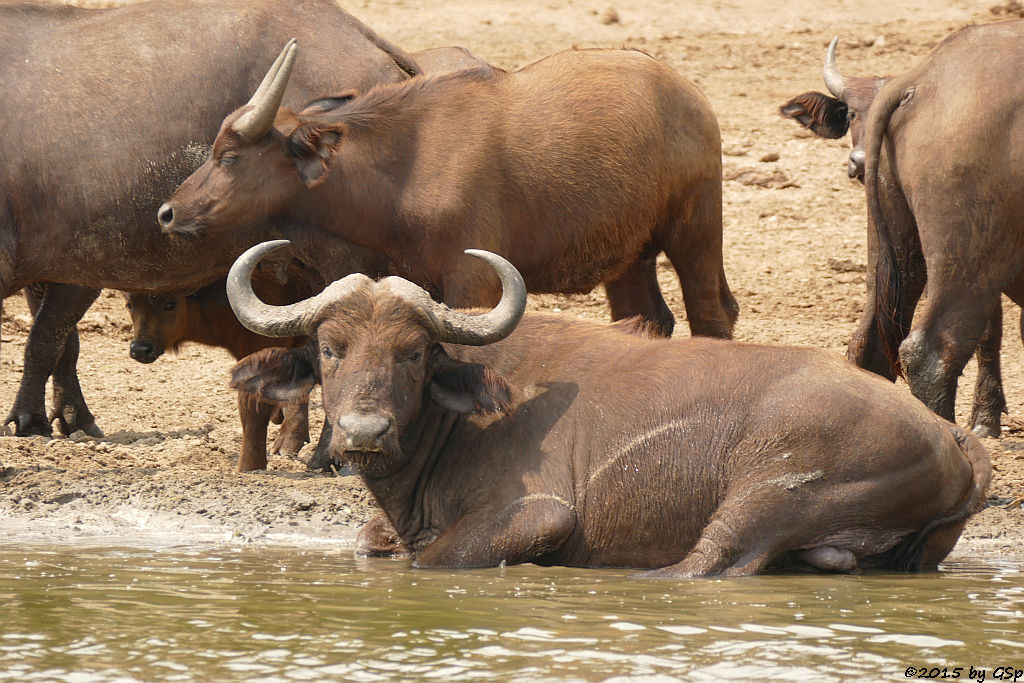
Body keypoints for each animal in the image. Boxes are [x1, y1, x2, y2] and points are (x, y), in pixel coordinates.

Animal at [1, 0, 415, 438]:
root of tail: (358, 32)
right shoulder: (58, 270)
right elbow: (61, 343)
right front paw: (68, 417)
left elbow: (44, 340)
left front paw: (28, 422)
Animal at [157, 42, 737, 339]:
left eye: (230, 157)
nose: (168, 213)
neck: (405, 168)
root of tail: (688, 95)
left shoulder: (475, 283)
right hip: (628, 257)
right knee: (649, 320)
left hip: (695, 232)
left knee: (712, 314)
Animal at [226, 241, 991, 577]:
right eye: (329, 348)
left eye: (413, 353)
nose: (364, 431)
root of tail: (950, 435)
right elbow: (368, 540)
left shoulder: (538, 515)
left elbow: (432, 558)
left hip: (769, 495)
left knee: (702, 563)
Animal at [778, 30, 1019, 432]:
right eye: (851, 113)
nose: (858, 163)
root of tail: (917, 83)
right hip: (968, 252)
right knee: (933, 351)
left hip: (902, 252)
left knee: (870, 343)